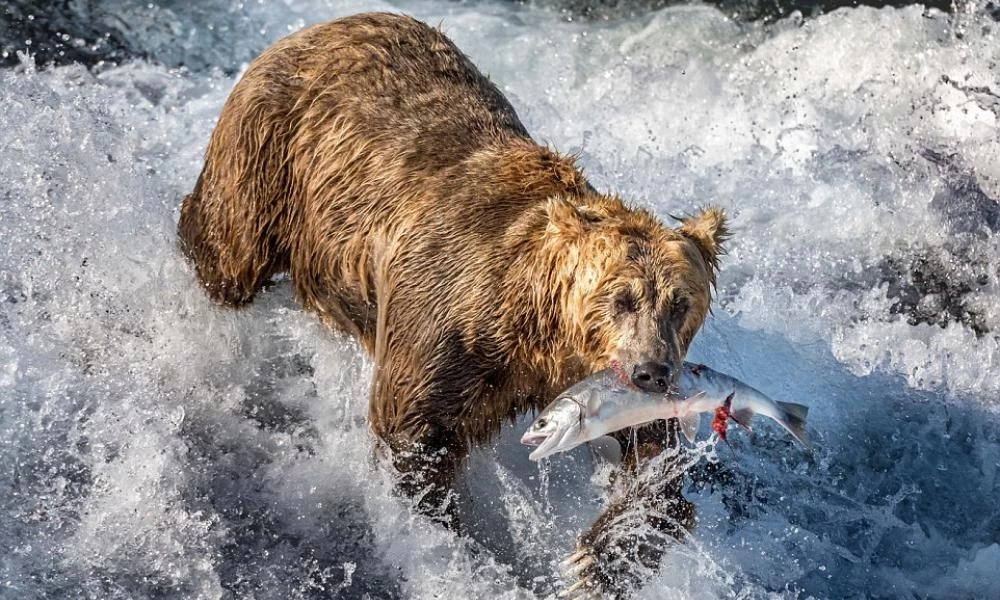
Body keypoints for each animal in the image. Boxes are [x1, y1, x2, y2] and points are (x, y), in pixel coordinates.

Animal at [178, 11, 728, 596]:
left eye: (680, 304)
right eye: (622, 298)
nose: (652, 371)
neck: (535, 333)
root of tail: (321, 25)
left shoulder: (592, 378)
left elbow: (653, 459)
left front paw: (601, 556)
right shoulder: (447, 323)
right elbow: (413, 432)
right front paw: (450, 538)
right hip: (269, 151)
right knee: (225, 247)